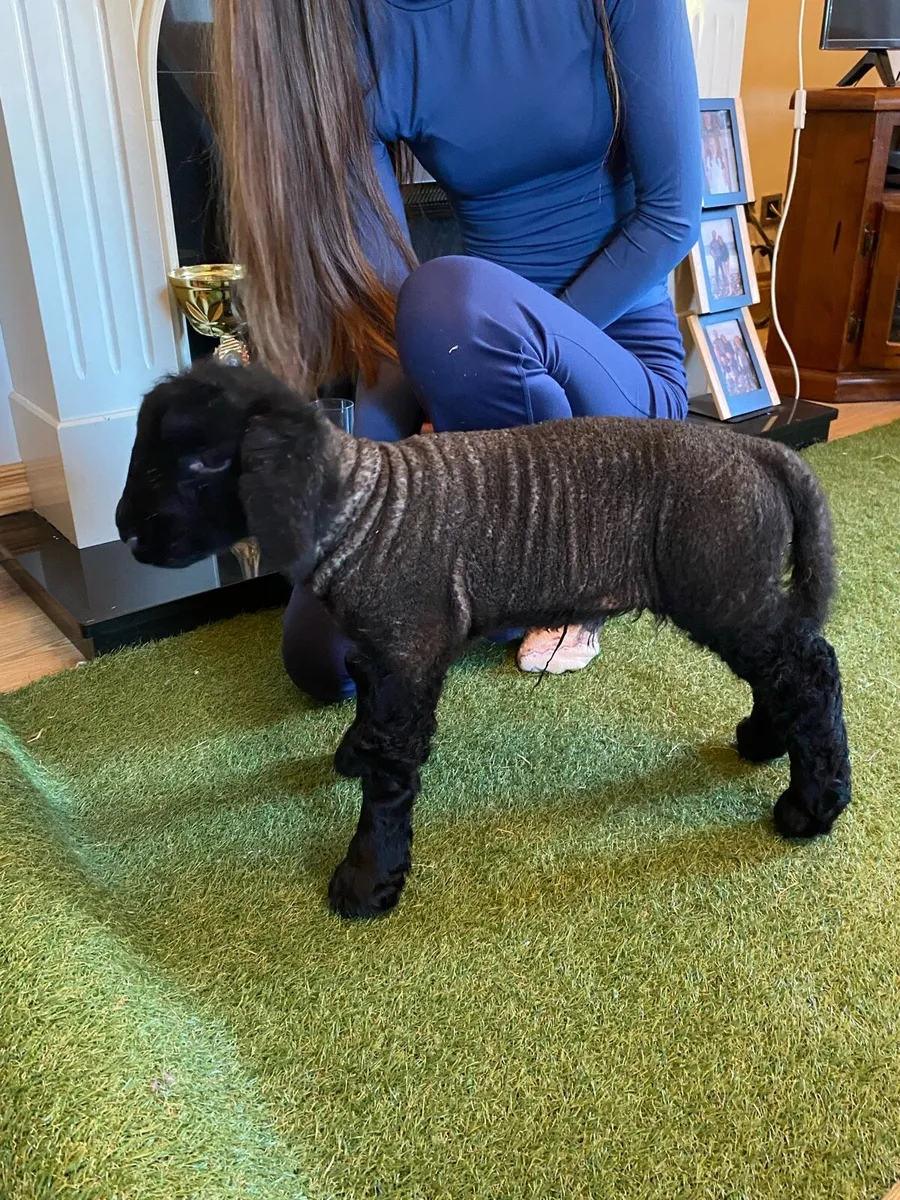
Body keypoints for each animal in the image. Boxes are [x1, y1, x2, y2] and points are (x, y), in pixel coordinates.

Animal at [116, 360, 851, 919]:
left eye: (205, 461)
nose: (124, 529)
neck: (358, 508)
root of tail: (757, 448)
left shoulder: (409, 656)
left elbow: (390, 783)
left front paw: (366, 881)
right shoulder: (385, 654)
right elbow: (371, 718)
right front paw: (354, 752)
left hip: (722, 589)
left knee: (811, 669)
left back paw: (813, 805)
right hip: (739, 593)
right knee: (787, 667)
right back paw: (766, 740)